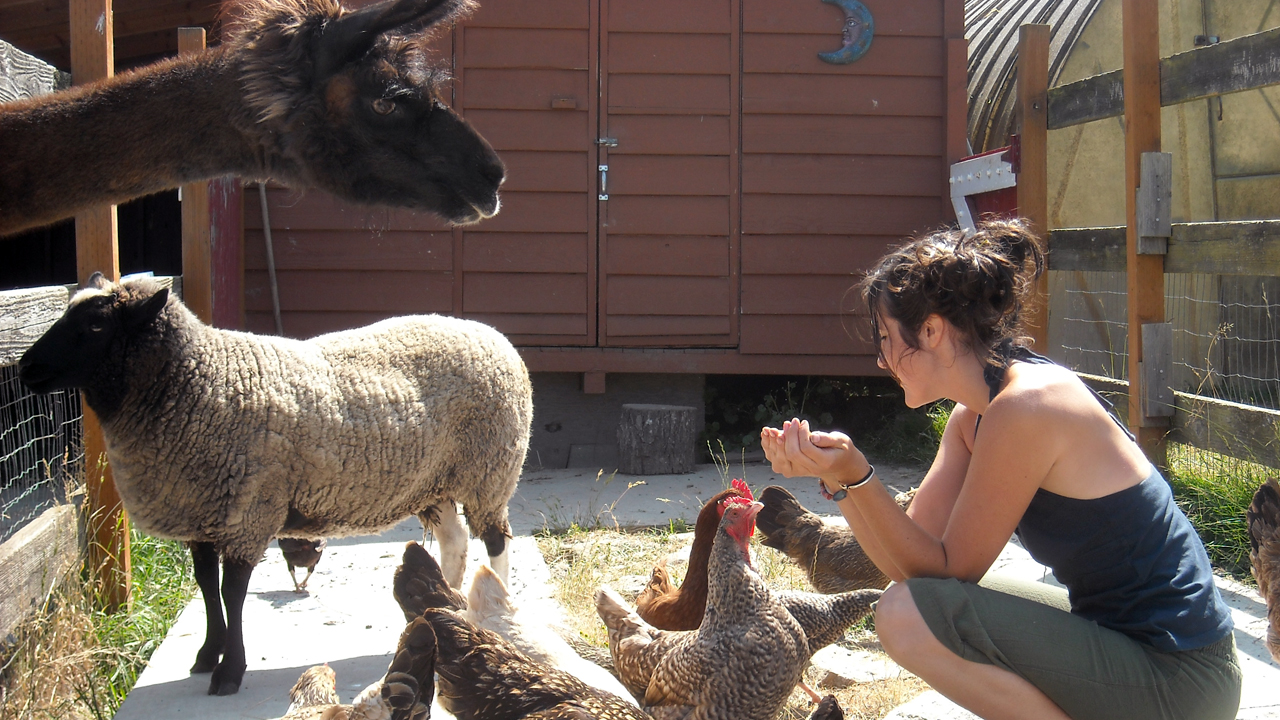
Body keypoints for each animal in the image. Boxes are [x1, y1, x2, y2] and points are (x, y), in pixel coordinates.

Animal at [20, 271, 529, 691]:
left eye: (96, 326)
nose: (26, 368)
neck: (201, 381)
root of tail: (491, 334)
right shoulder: (204, 513)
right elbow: (206, 585)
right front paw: (206, 656)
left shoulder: (249, 512)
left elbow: (232, 592)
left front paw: (229, 672)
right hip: (435, 483)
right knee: (455, 541)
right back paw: (442, 607)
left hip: (490, 468)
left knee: (495, 541)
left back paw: (494, 613)